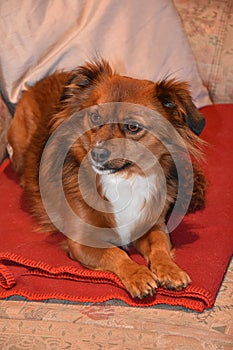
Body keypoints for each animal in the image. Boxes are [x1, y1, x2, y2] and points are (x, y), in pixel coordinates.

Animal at [7, 59, 206, 298]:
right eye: (94, 117)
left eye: (133, 127)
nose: (97, 154)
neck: (124, 179)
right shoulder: (83, 241)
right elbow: (117, 254)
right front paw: (138, 275)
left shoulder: (153, 225)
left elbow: (160, 246)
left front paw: (170, 269)